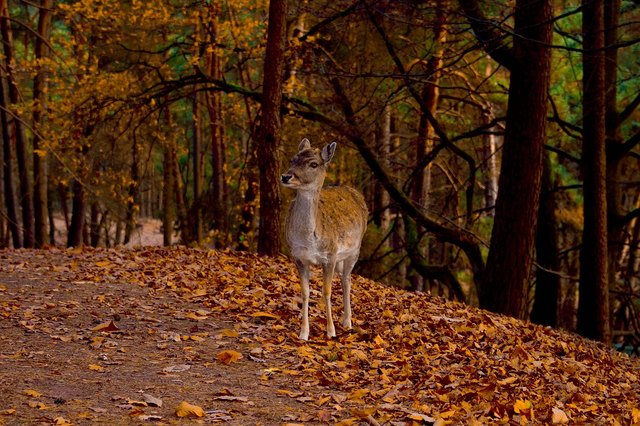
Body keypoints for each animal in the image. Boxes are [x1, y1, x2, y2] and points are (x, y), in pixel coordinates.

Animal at [281, 138, 368, 340]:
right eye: (292, 159)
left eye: (313, 164)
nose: (286, 177)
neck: (308, 239)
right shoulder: (298, 257)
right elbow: (305, 292)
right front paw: (303, 333)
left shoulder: (331, 255)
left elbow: (326, 291)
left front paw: (331, 331)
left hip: (354, 251)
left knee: (346, 280)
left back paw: (347, 322)